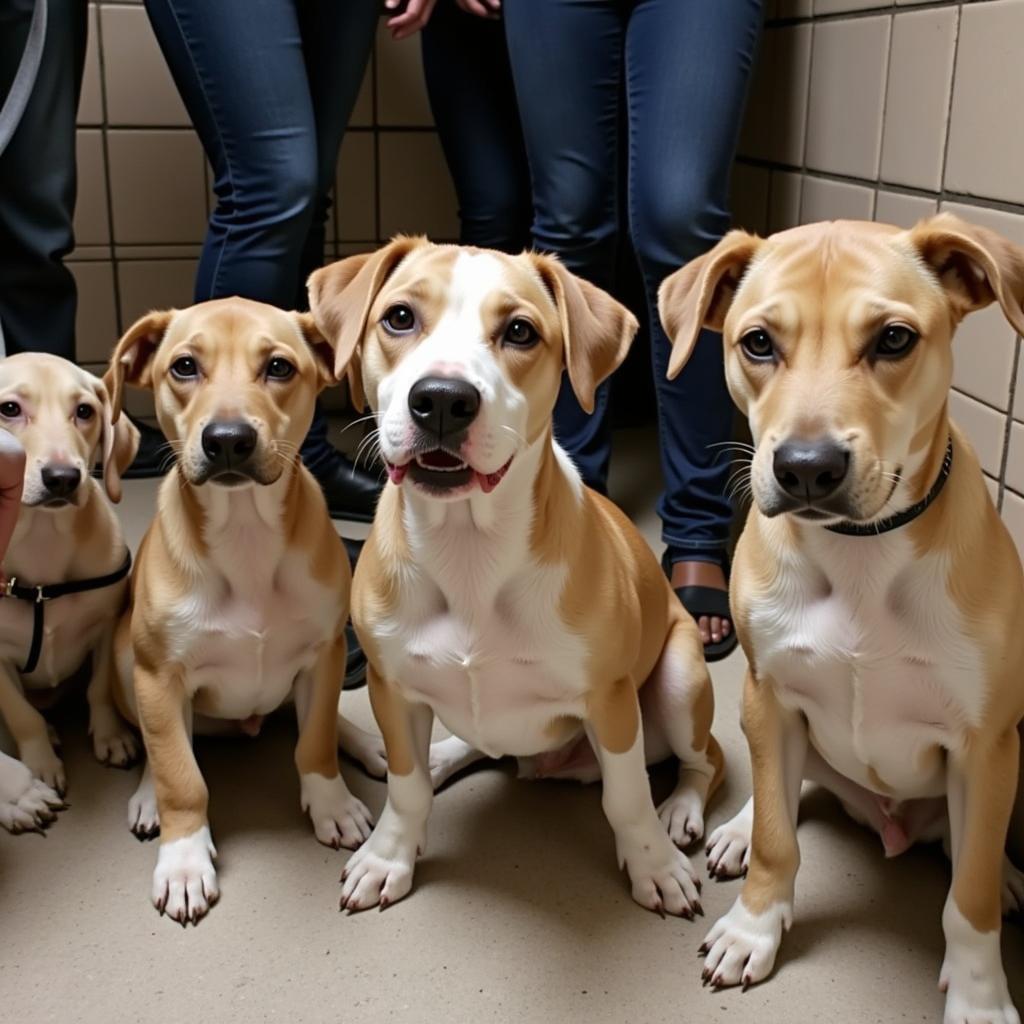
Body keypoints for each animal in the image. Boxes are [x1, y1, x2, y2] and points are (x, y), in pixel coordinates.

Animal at [0, 352, 140, 831]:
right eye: (9, 409)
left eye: (85, 411)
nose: (62, 477)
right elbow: (21, 714)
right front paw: (40, 762)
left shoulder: (106, 627)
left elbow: (99, 689)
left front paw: (112, 736)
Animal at [105, 299, 385, 929]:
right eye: (184, 366)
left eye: (279, 367)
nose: (228, 440)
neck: (246, 533)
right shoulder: (159, 676)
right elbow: (180, 774)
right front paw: (184, 861)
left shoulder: (325, 654)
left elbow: (315, 739)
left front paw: (331, 802)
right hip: (127, 663)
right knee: (161, 744)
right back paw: (145, 797)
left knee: (309, 719)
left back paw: (366, 743)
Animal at [307, 241, 724, 921]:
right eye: (399, 317)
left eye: (520, 331)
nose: (442, 399)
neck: (469, 549)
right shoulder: (391, 686)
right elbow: (406, 785)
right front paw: (389, 855)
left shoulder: (611, 702)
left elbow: (628, 796)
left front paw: (655, 866)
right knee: (471, 744)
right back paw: (439, 755)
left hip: (682, 680)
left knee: (706, 758)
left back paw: (681, 811)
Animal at [659, 211, 1024, 1019]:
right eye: (758, 342)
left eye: (893, 339)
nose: (805, 469)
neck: (861, 557)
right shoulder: (769, 694)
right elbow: (778, 836)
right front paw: (754, 929)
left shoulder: (985, 745)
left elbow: (971, 892)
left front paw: (981, 993)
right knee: (786, 791)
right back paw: (735, 829)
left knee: (966, 848)